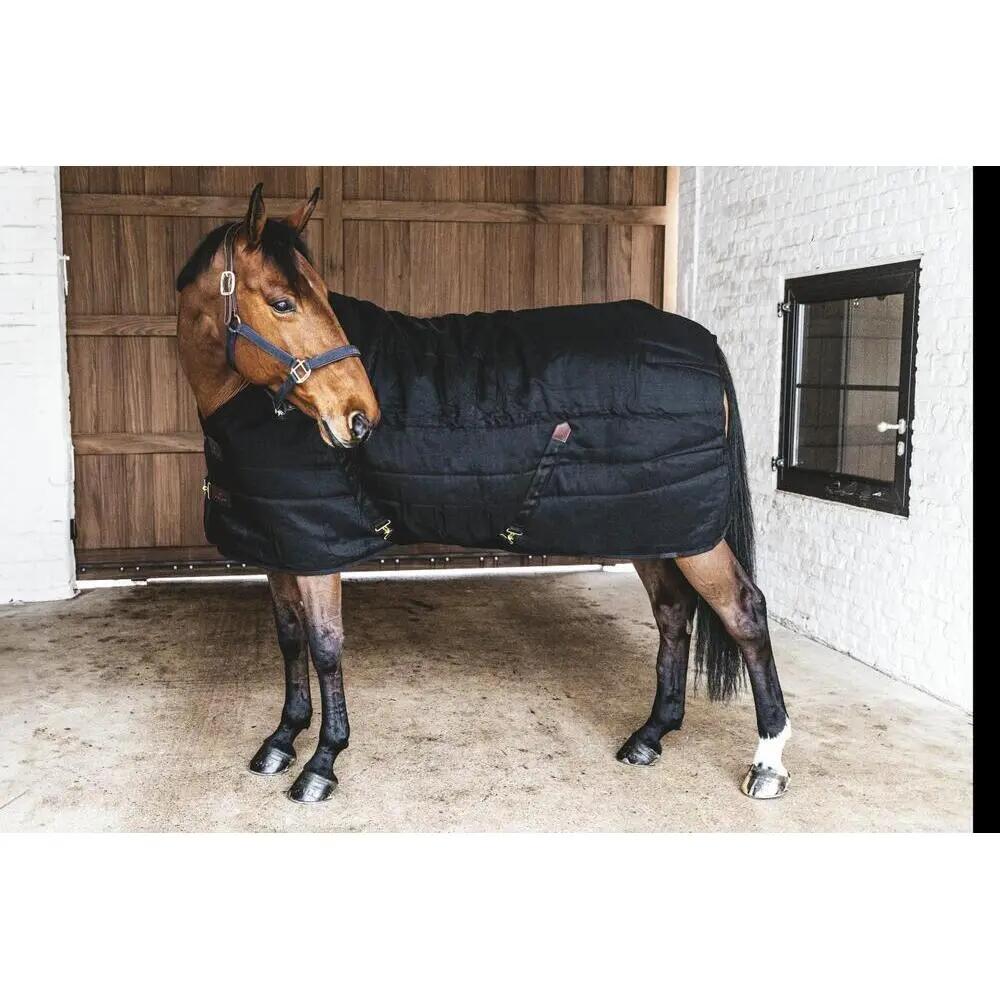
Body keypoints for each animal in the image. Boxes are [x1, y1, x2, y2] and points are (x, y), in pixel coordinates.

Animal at [176, 184, 791, 805]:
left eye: (322, 297)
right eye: (282, 303)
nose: (361, 417)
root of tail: (704, 343)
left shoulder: (317, 549)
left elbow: (325, 647)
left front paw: (322, 762)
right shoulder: (280, 546)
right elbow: (289, 639)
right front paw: (282, 738)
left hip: (694, 537)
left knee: (743, 611)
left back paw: (768, 762)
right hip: (652, 527)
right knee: (672, 612)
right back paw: (651, 735)